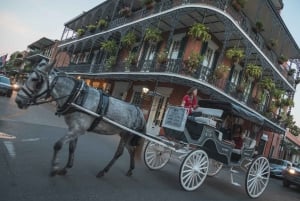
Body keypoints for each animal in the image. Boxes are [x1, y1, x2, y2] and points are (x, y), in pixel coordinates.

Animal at [15, 60, 146, 177]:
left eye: (36, 80)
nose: (18, 100)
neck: (77, 97)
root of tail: (139, 111)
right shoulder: (74, 128)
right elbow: (72, 148)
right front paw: (65, 168)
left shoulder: (78, 129)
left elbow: (58, 145)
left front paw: (55, 167)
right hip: (124, 134)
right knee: (131, 149)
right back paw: (130, 169)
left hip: (126, 134)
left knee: (119, 153)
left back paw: (103, 171)